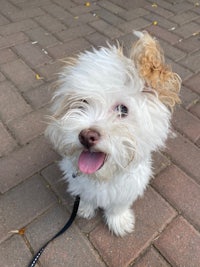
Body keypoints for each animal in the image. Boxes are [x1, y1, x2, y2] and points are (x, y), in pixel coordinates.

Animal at [45, 30, 181, 237]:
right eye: (82, 103)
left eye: (122, 109)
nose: (86, 136)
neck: (102, 178)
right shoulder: (79, 184)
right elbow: (86, 197)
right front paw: (85, 208)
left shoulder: (128, 188)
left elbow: (118, 207)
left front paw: (119, 222)